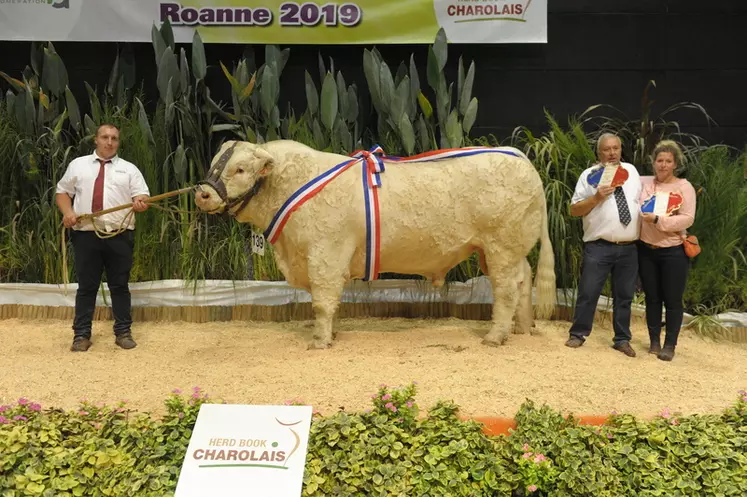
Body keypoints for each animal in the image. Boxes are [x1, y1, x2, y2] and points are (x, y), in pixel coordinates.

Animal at [193, 140, 556, 348]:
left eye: (240, 169)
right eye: (213, 163)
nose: (202, 193)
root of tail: (520, 158)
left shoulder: (325, 254)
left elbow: (323, 302)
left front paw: (320, 342)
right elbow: (331, 302)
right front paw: (331, 334)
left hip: (501, 245)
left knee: (507, 289)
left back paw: (495, 337)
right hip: (501, 249)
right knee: (523, 280)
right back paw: (522, 328)